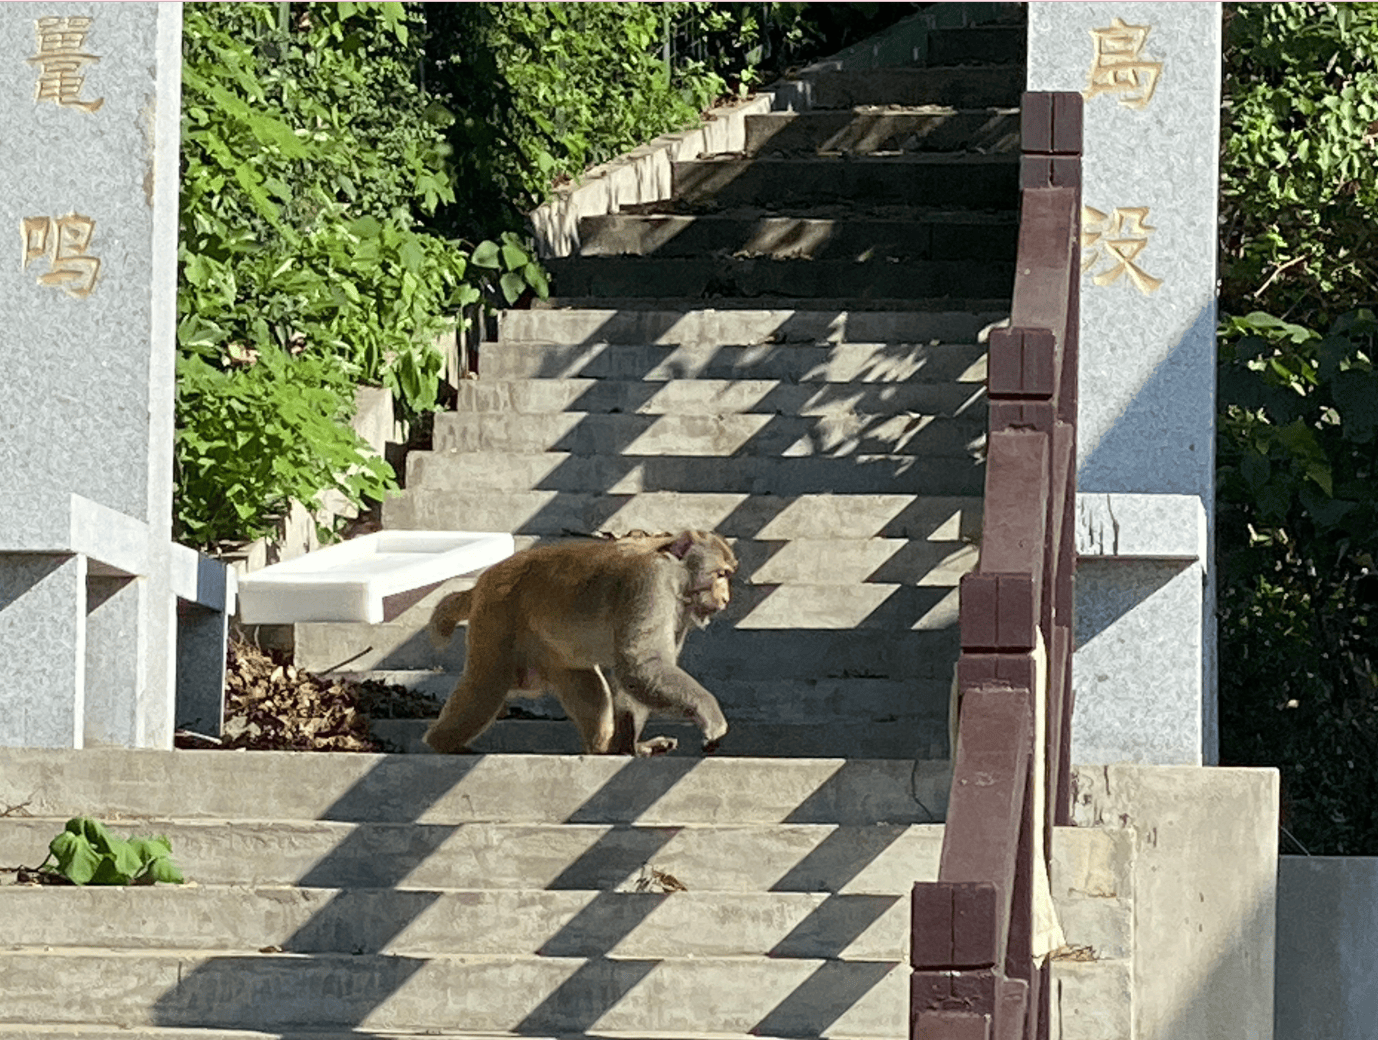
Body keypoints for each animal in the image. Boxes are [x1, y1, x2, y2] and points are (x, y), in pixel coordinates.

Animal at [424, 528, 738, 754]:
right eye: (720, 574)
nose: (725, 598)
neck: (676, 570)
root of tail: (484, 581)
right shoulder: (652, 583)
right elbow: (641, 664)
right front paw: (710, 715)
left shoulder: (680, 611)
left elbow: (642, 672)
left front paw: (629, 747)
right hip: (497, 614)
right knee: (487, 684)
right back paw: (442, 744)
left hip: (549, 651)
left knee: (584, 681)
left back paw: (603, 748)